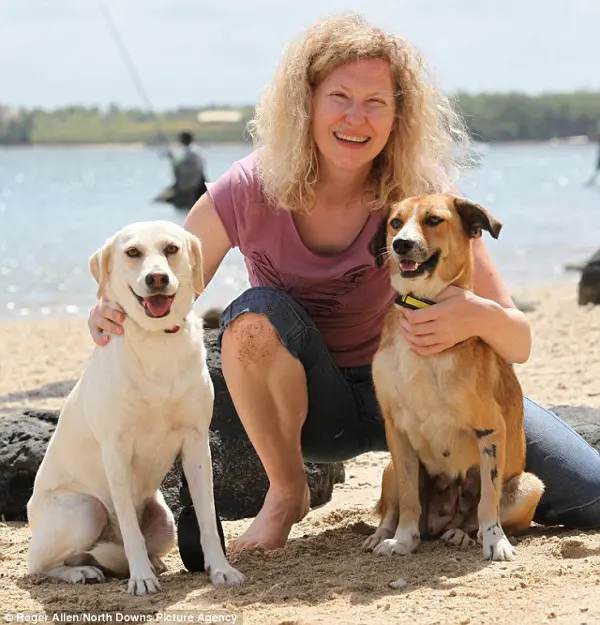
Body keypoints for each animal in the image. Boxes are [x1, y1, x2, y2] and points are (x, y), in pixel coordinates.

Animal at [27, 221, 244, 596]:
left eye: (171, 248)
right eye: (132, 253)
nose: (156, 278)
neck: (156, 339)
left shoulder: (196, 443)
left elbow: (206, 516)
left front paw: (220, 569)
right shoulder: (115, 451)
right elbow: (129, 528)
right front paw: (141, 577)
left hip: (166, 520)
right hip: (86, 510)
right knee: (40, 563)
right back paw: (83, 572)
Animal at [364, 195, 548, 560]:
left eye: (434, 220)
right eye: (395, 222)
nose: (401, 243)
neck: (422, 306)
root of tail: (440, 522)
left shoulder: (490, 430)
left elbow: (488, 500)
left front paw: (495, 542)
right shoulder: (396, 431)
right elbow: (408, 497)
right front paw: (403, 540)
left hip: (530, 486)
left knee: (473, 514)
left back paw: (463, 534)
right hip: (388, 468)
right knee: (393, 509)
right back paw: (383, 536)